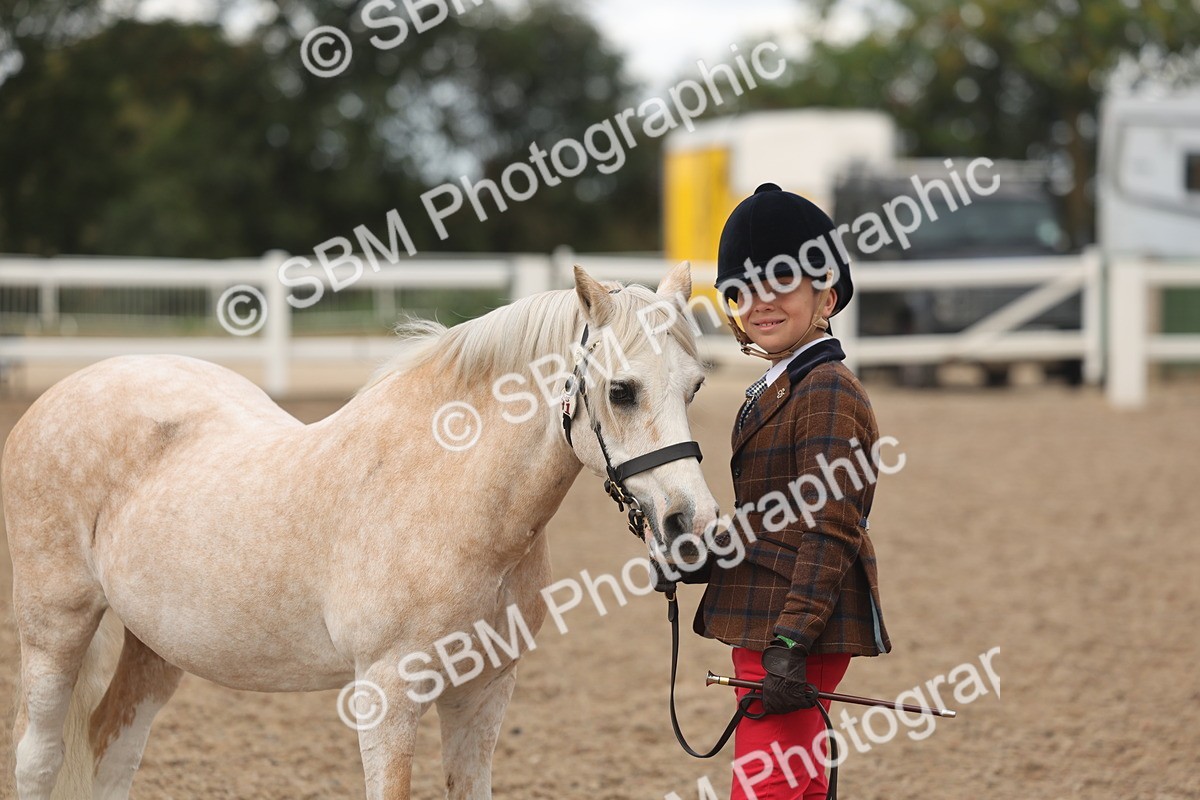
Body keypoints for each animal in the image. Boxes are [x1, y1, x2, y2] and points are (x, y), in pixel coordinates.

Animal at [2, 262, 720, 800]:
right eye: (622, 390)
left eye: (695, 387)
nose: (695, 524)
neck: (446, 494)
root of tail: (64, 391)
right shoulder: (387, 693)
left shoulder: (485, 690)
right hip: (56, 625)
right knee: (39, 757)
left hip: (156, 646)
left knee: (112, 749)